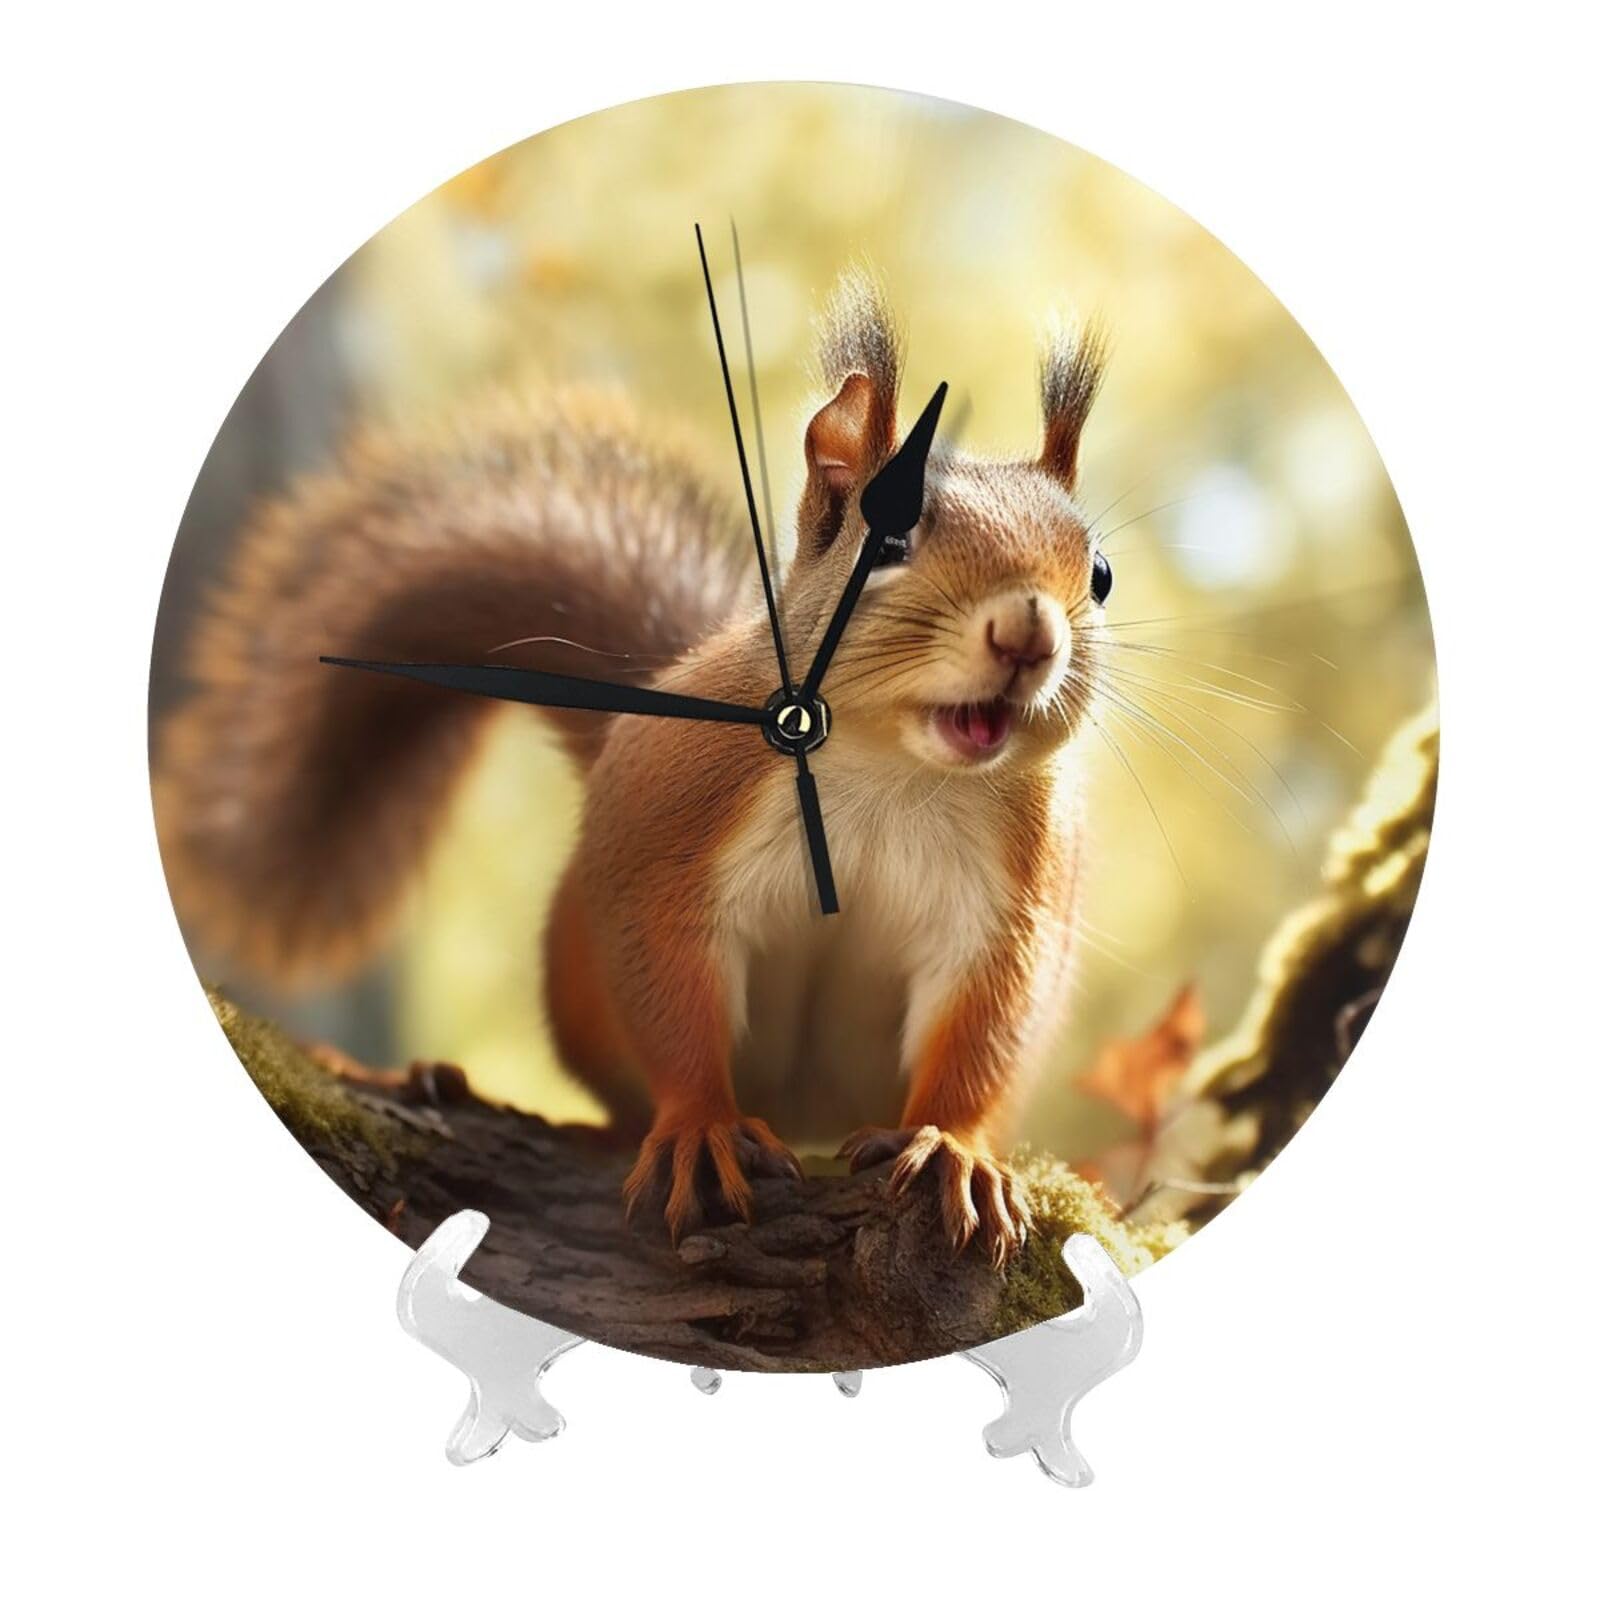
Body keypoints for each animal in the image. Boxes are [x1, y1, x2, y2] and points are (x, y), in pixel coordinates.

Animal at [154, 272, 1110, 1269]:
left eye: (1101, 574)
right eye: (887, 544)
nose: (1030, 634)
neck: (892, 770)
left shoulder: (1017, 891)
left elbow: (984, 1025)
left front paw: (954, 1149)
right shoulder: (672, 828)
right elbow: (669, 986)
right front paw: (699, 1128)